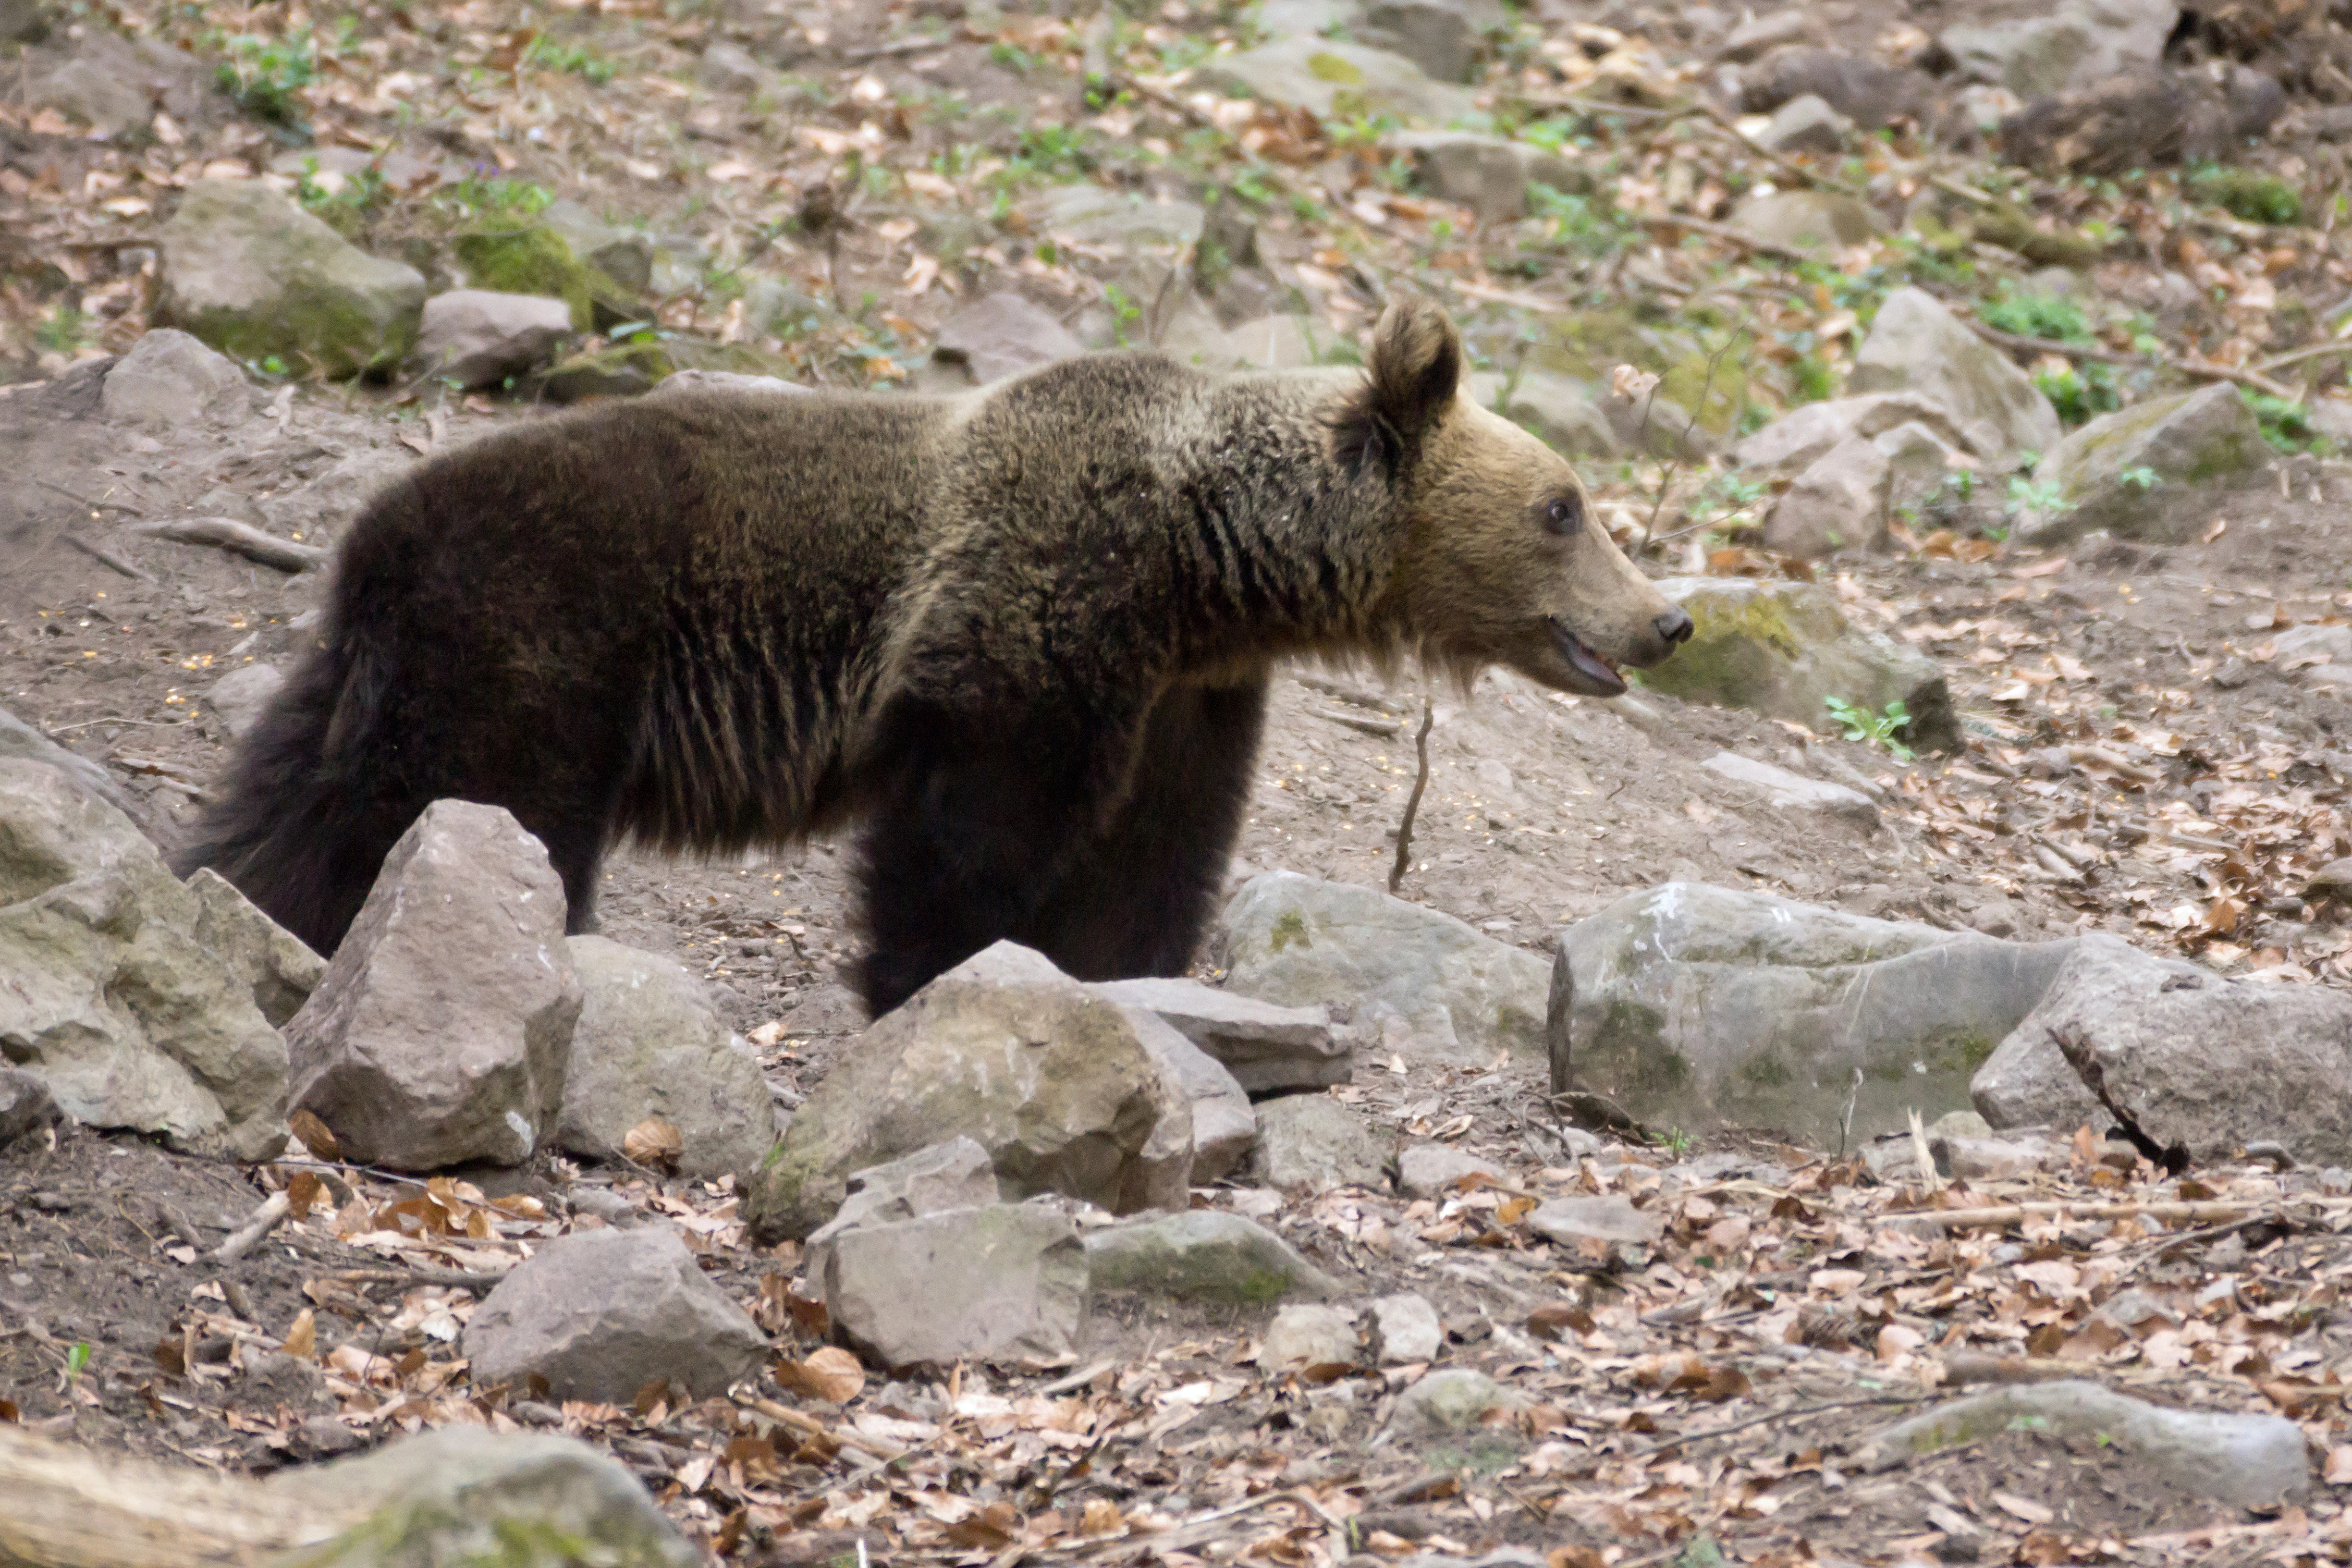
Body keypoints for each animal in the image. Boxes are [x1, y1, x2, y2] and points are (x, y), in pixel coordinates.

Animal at [175, 298, 1691, 1016]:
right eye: (1565, 508)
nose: (1666, 618)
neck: (1209, 560)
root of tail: (374, 539)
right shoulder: (1033, 624)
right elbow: (972, 840)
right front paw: (934, 982)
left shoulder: (1186, 699)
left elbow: (1149, 861)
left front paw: (1124, 983)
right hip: (540, 648)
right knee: (479, 819)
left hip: (367, 677)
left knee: (294, 815)